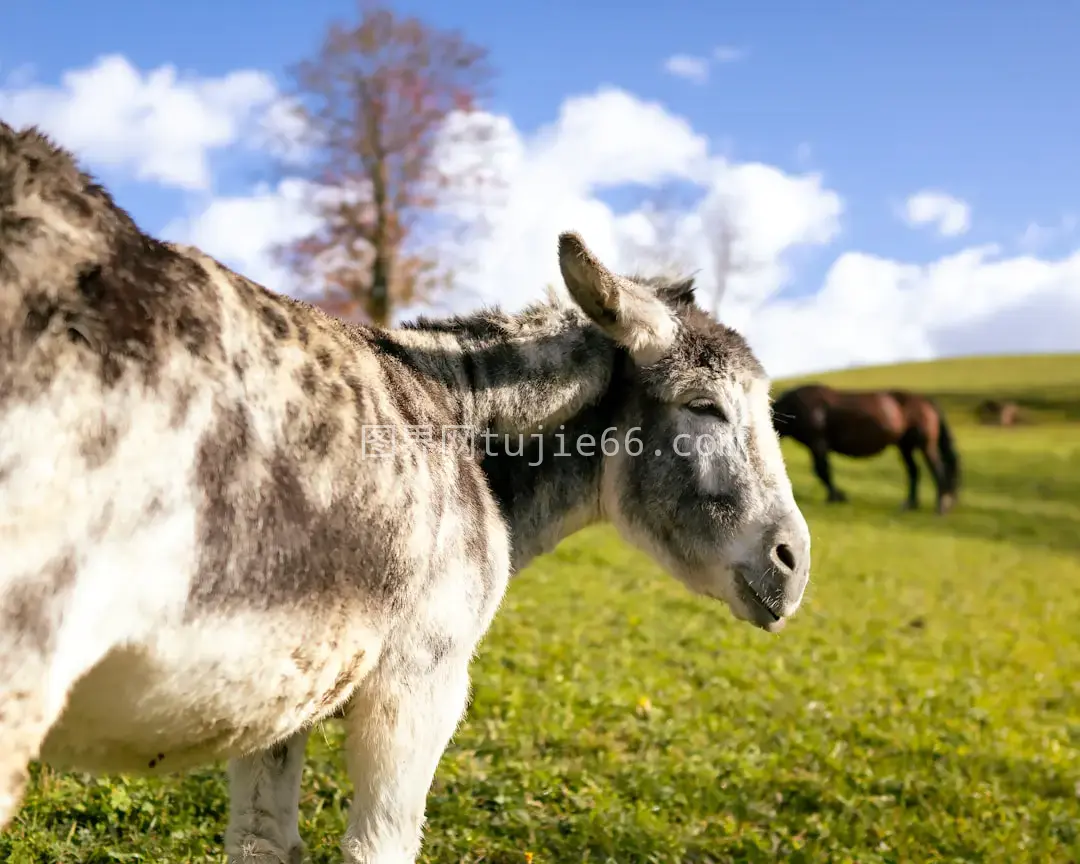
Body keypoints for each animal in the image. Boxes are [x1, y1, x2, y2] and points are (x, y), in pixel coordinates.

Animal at [773, 382, 959, 514]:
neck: (795, 407)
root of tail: (926, 401)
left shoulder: (818, 444)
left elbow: (823, 470)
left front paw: (836, 496)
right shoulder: (815, 447)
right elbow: (822, 471)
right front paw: (836, 496)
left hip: (925, 446)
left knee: (938, 470)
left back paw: (941, 505)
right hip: (905, 446)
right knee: (914, 471)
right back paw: (910, 505)